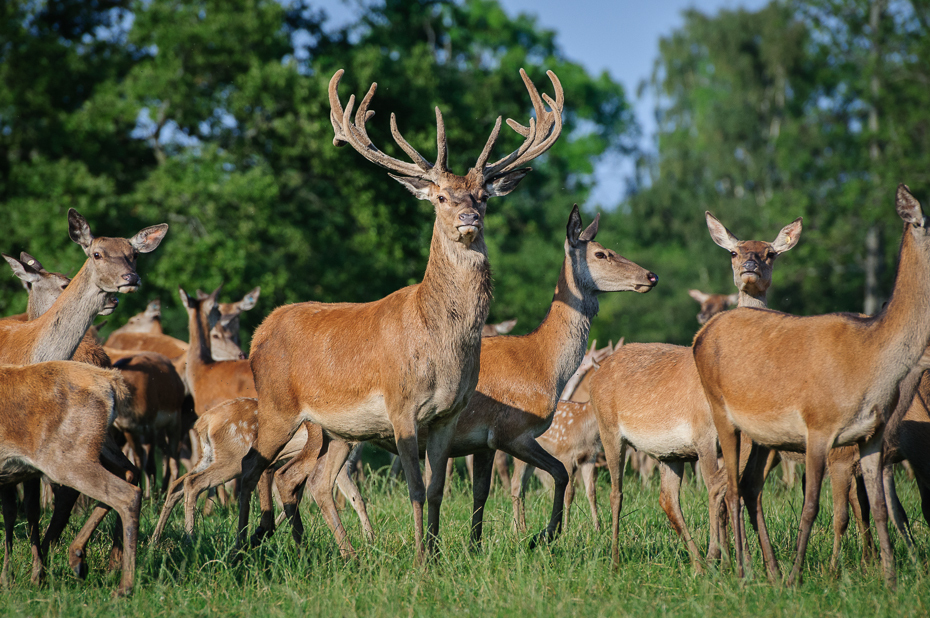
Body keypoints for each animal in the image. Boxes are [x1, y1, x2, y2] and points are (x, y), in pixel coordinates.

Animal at [236, 66, 560, 560]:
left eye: (483, 196)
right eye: (441, 197)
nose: (469, 219)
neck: (437, 339)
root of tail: (259, 333)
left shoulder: (448, 415)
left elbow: (437, 488)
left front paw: (437, 552)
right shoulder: (401, 405)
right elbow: (413, 487)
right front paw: (421, 557)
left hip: (336, 430)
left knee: (308, 481)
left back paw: (336, 553)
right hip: (277, 406)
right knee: (250, 468)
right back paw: (241, 548)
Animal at [588, 212, 796, 568]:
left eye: (771, 253)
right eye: (734, 251)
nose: (750, 265)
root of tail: (598, 371)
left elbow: (734, 489)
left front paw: (736, 558)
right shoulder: (703, 431)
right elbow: (717, 487)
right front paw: (725, 557)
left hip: (668, 453)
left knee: (667, 498)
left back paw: (697, 563)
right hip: (608, 428)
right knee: (616, 491)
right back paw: (616, 559)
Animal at [692, 184, 928, 588]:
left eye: (770, 253)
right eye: (734, 252)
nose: (750, 265)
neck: (873, 362)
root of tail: (701, 335)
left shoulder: (873, 435)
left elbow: (881, 508)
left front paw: (890, 580)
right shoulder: (819, 426)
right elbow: (812, 505)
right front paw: (797, 578)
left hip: (763, 437)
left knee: (748, 485)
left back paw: (761, 567)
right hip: (722, 412)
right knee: (731, 486)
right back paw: (742, 569)